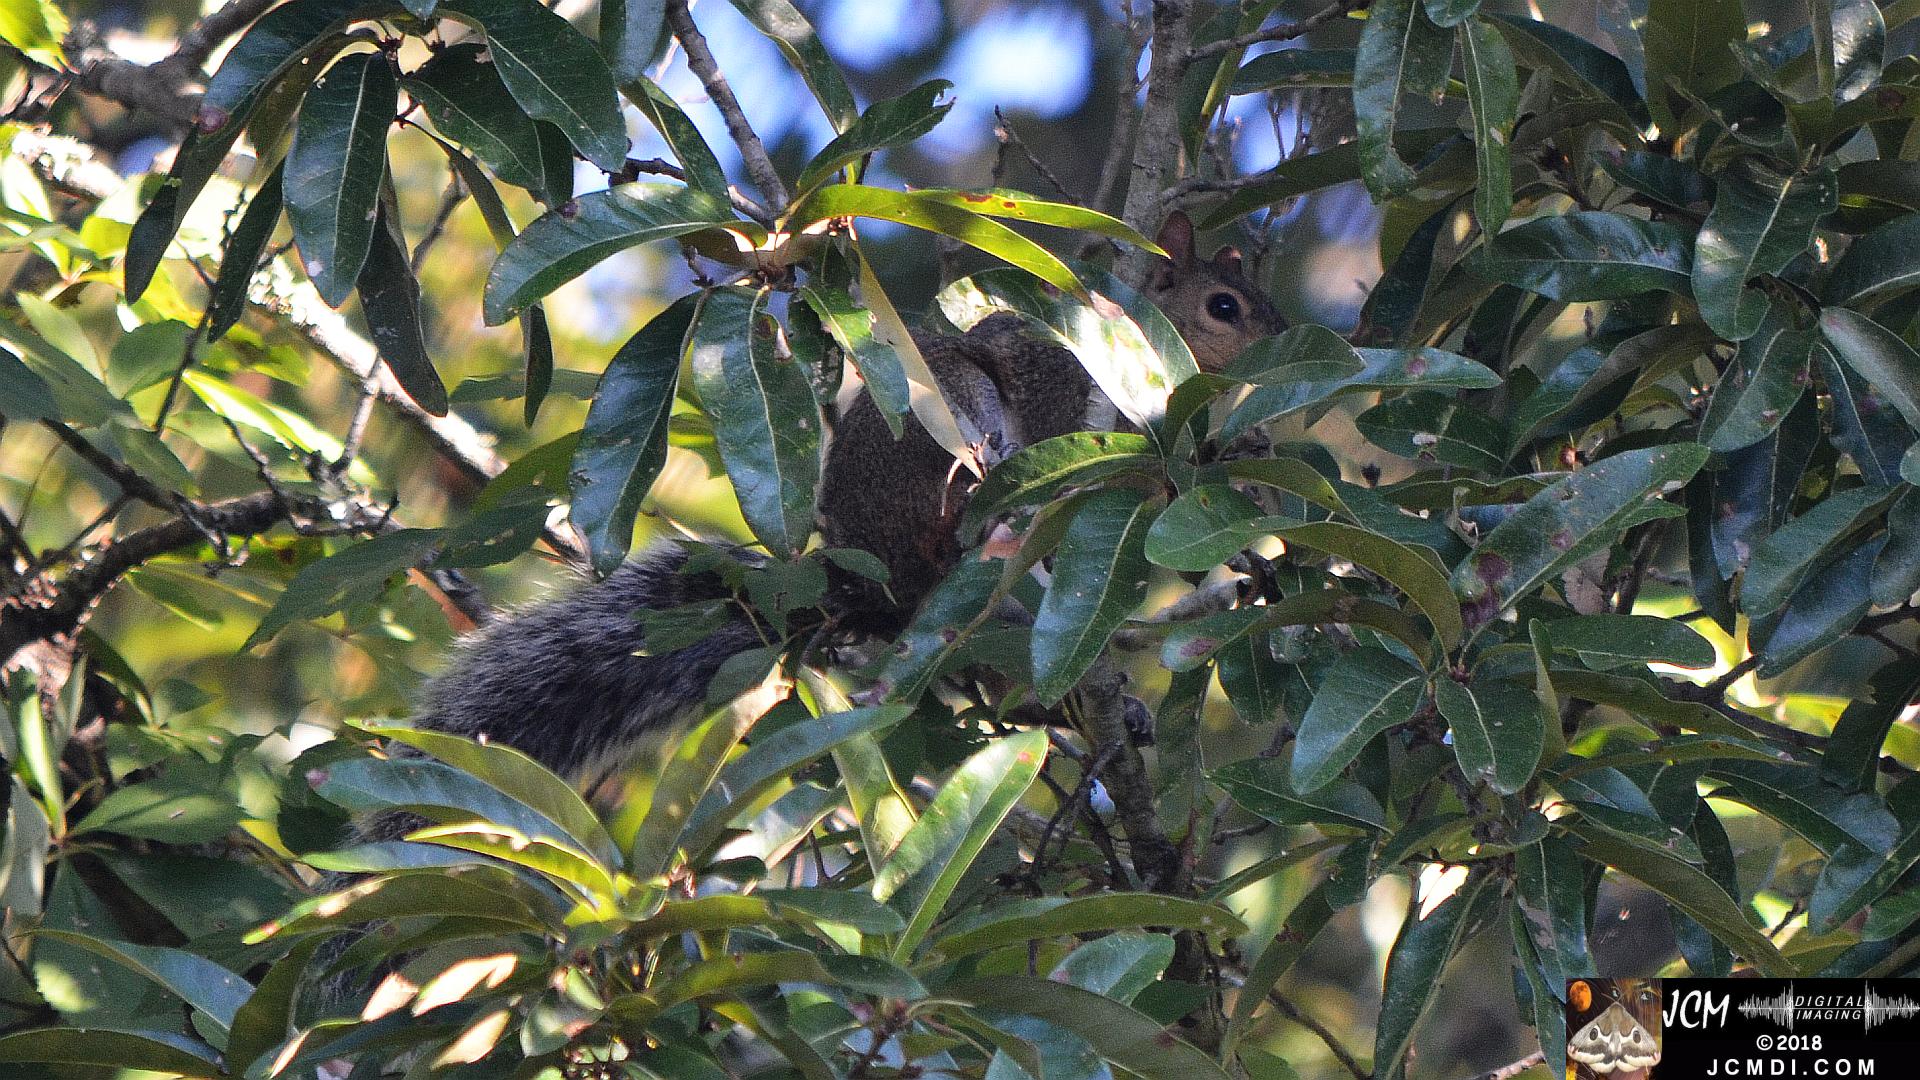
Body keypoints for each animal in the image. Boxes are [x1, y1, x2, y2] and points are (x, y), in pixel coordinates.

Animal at [395, 212, 1282, 785]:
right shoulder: (1063, 380)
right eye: (1223, 306)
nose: (1276, 353)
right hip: (937, 431)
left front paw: (1240, 455)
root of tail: (877, 588)